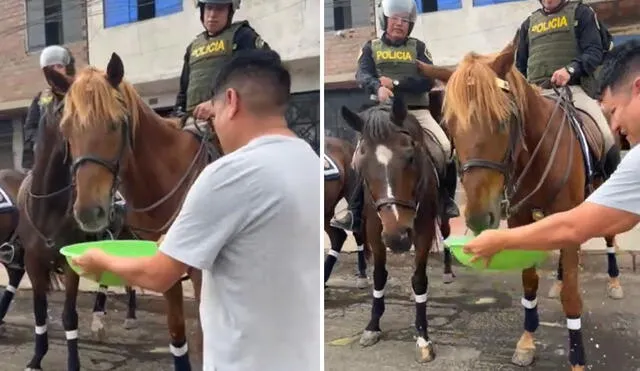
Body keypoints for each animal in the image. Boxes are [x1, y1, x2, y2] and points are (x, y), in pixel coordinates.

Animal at [342, 94, 452, 364]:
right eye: (362, 163)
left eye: (410, 157)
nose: (397, 237)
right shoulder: (374, 231)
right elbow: (379, 276)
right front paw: (372, 327)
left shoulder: (422, 230)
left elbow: (419, 279)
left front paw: (423, 338)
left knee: (445, 237)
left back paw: (446, 272)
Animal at [418, 34, 624, 370]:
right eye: (449, 124)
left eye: (503, 121)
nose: (478, 218)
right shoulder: (520, 219)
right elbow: (529, 282)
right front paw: (527, 342)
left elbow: (572, 297)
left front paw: (577, 358)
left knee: (607, 237)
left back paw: (614, 282)